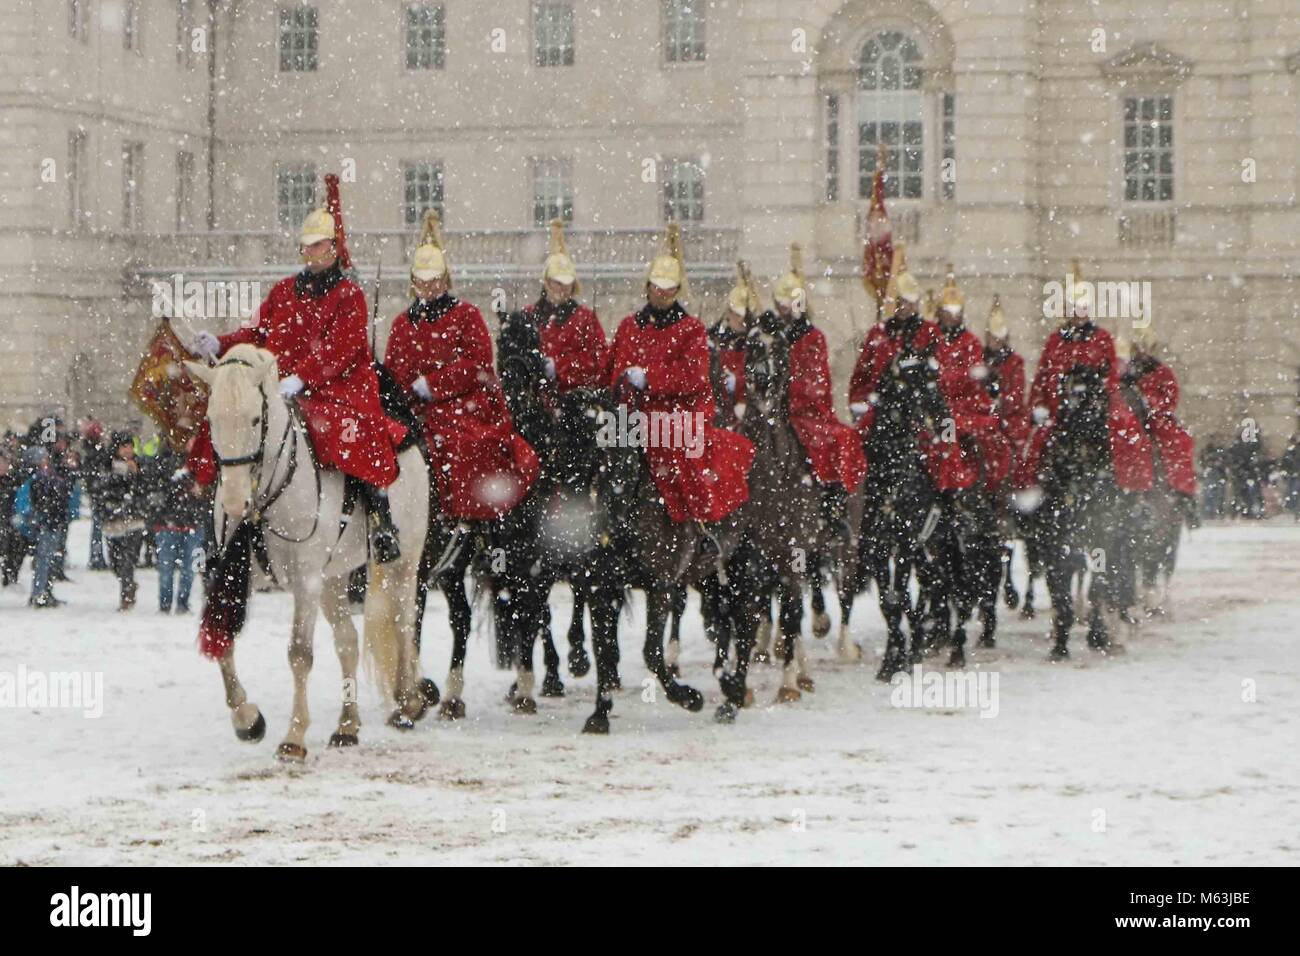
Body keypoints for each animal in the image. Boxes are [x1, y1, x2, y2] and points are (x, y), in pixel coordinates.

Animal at [185, 343, 436, 764]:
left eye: (255, 419)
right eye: (211, 419)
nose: (236, 502)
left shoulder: (305, 580)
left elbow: (299, 653)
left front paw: (294, 736)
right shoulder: (236, 575)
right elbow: (224, 639)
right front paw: (247, 719)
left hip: (405, 562)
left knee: (404, 621)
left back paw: (408, 699)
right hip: (333, 579)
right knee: (348, 641)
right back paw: (347, 725)